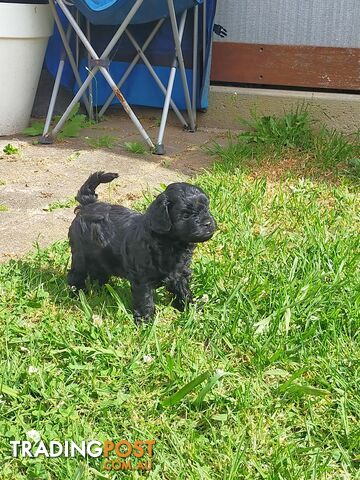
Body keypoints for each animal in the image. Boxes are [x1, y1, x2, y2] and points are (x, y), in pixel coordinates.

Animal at [67, 172, 217, 322]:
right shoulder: (142, 278)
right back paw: (77, 294)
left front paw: (192, 310)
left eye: (206, 209)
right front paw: (146, 321)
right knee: (76, 274)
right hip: (81, 254)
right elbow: (145, 300)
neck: (169, 242)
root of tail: (88, 204)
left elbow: (184, 291)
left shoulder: (179, 273)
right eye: (186, 215)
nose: (208, 223)